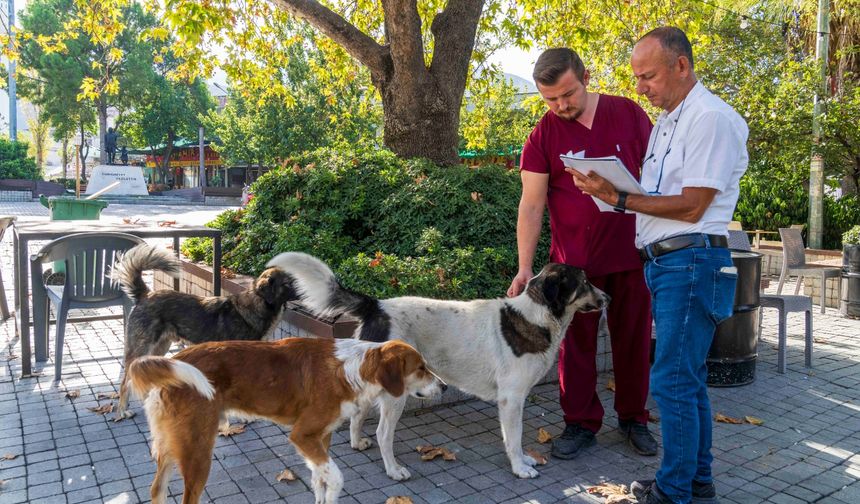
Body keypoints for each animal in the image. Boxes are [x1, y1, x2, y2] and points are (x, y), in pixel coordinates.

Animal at [111, 244, 298, 422]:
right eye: (288, 283)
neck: (256, 306)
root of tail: (145, 295)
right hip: (143, 348)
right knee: (125, 381)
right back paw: (122, 410)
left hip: (160, 347)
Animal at [127, 336, 444, 504]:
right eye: (421, 368)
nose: (444, 387)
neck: (352, 369)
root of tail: (175, 359)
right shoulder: (302, 435)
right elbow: (336, 478)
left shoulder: (320, 437)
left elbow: (320, 478)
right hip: (198, 450)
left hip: (174, 445)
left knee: (157, 489)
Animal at [266, 252, 608, 480]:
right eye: (585, 282)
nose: (608, 297)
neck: (535, 317)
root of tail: (377, 305)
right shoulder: (511, 400)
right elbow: (514, 438)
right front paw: (520, 467)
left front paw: (524, 460)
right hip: (396, 395)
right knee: (383, 433)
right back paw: (393, 470)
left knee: (358, 416)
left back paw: (356, 443)